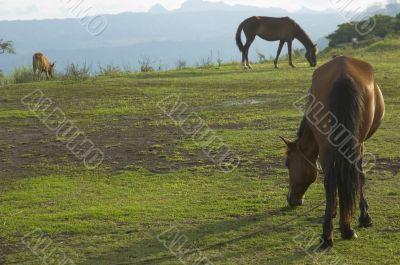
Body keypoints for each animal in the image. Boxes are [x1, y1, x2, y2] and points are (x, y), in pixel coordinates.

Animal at [282, 55, 384, 248]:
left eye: (287, 164)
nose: (291, 199)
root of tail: (342, 73)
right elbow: (359, 177)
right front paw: (364, 217)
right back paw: (344, 229)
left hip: (328, 146)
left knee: (331, 181)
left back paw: (330, 234)